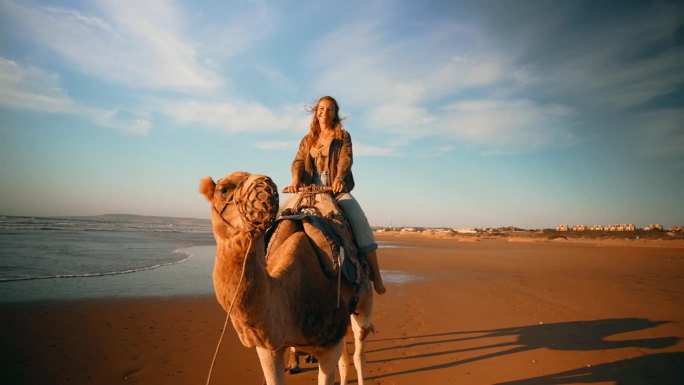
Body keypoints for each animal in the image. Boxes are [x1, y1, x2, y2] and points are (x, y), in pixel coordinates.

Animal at [198, 172, 374, 384]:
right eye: (223, 189)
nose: (265, 187)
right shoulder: (269, 348)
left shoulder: (329, 345)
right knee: (346, 360)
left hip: (365, 301)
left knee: (359, 350)